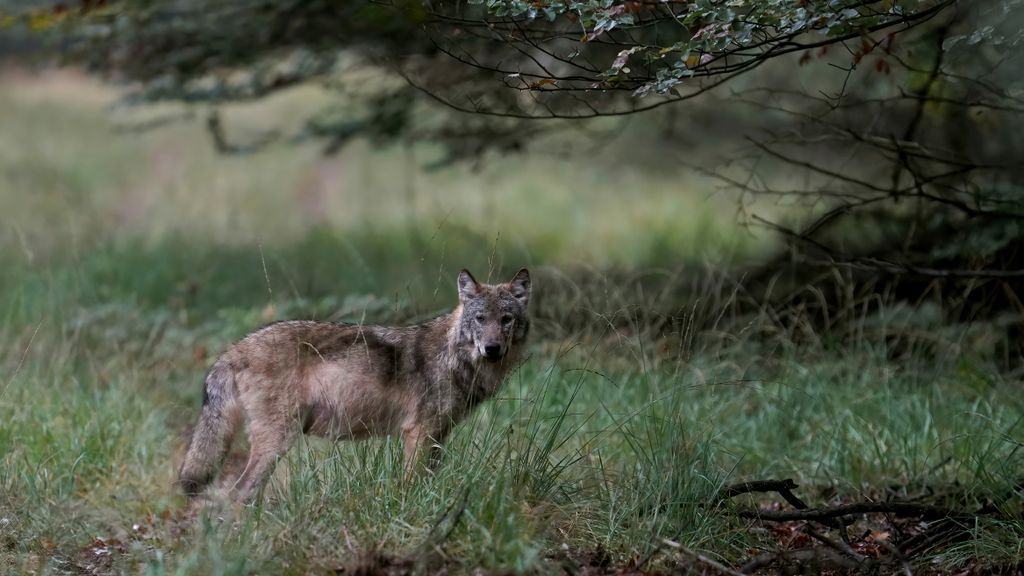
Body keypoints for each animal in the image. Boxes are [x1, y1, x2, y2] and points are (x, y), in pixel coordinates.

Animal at [178, 268, 531, 501]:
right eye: (480, 319)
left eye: (506, 319)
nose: (492, 349)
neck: (454, 357)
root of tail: (234, 349)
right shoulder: (418, 432)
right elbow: (411, 484)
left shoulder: (438, 436)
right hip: (277, 442)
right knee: (239, 494)